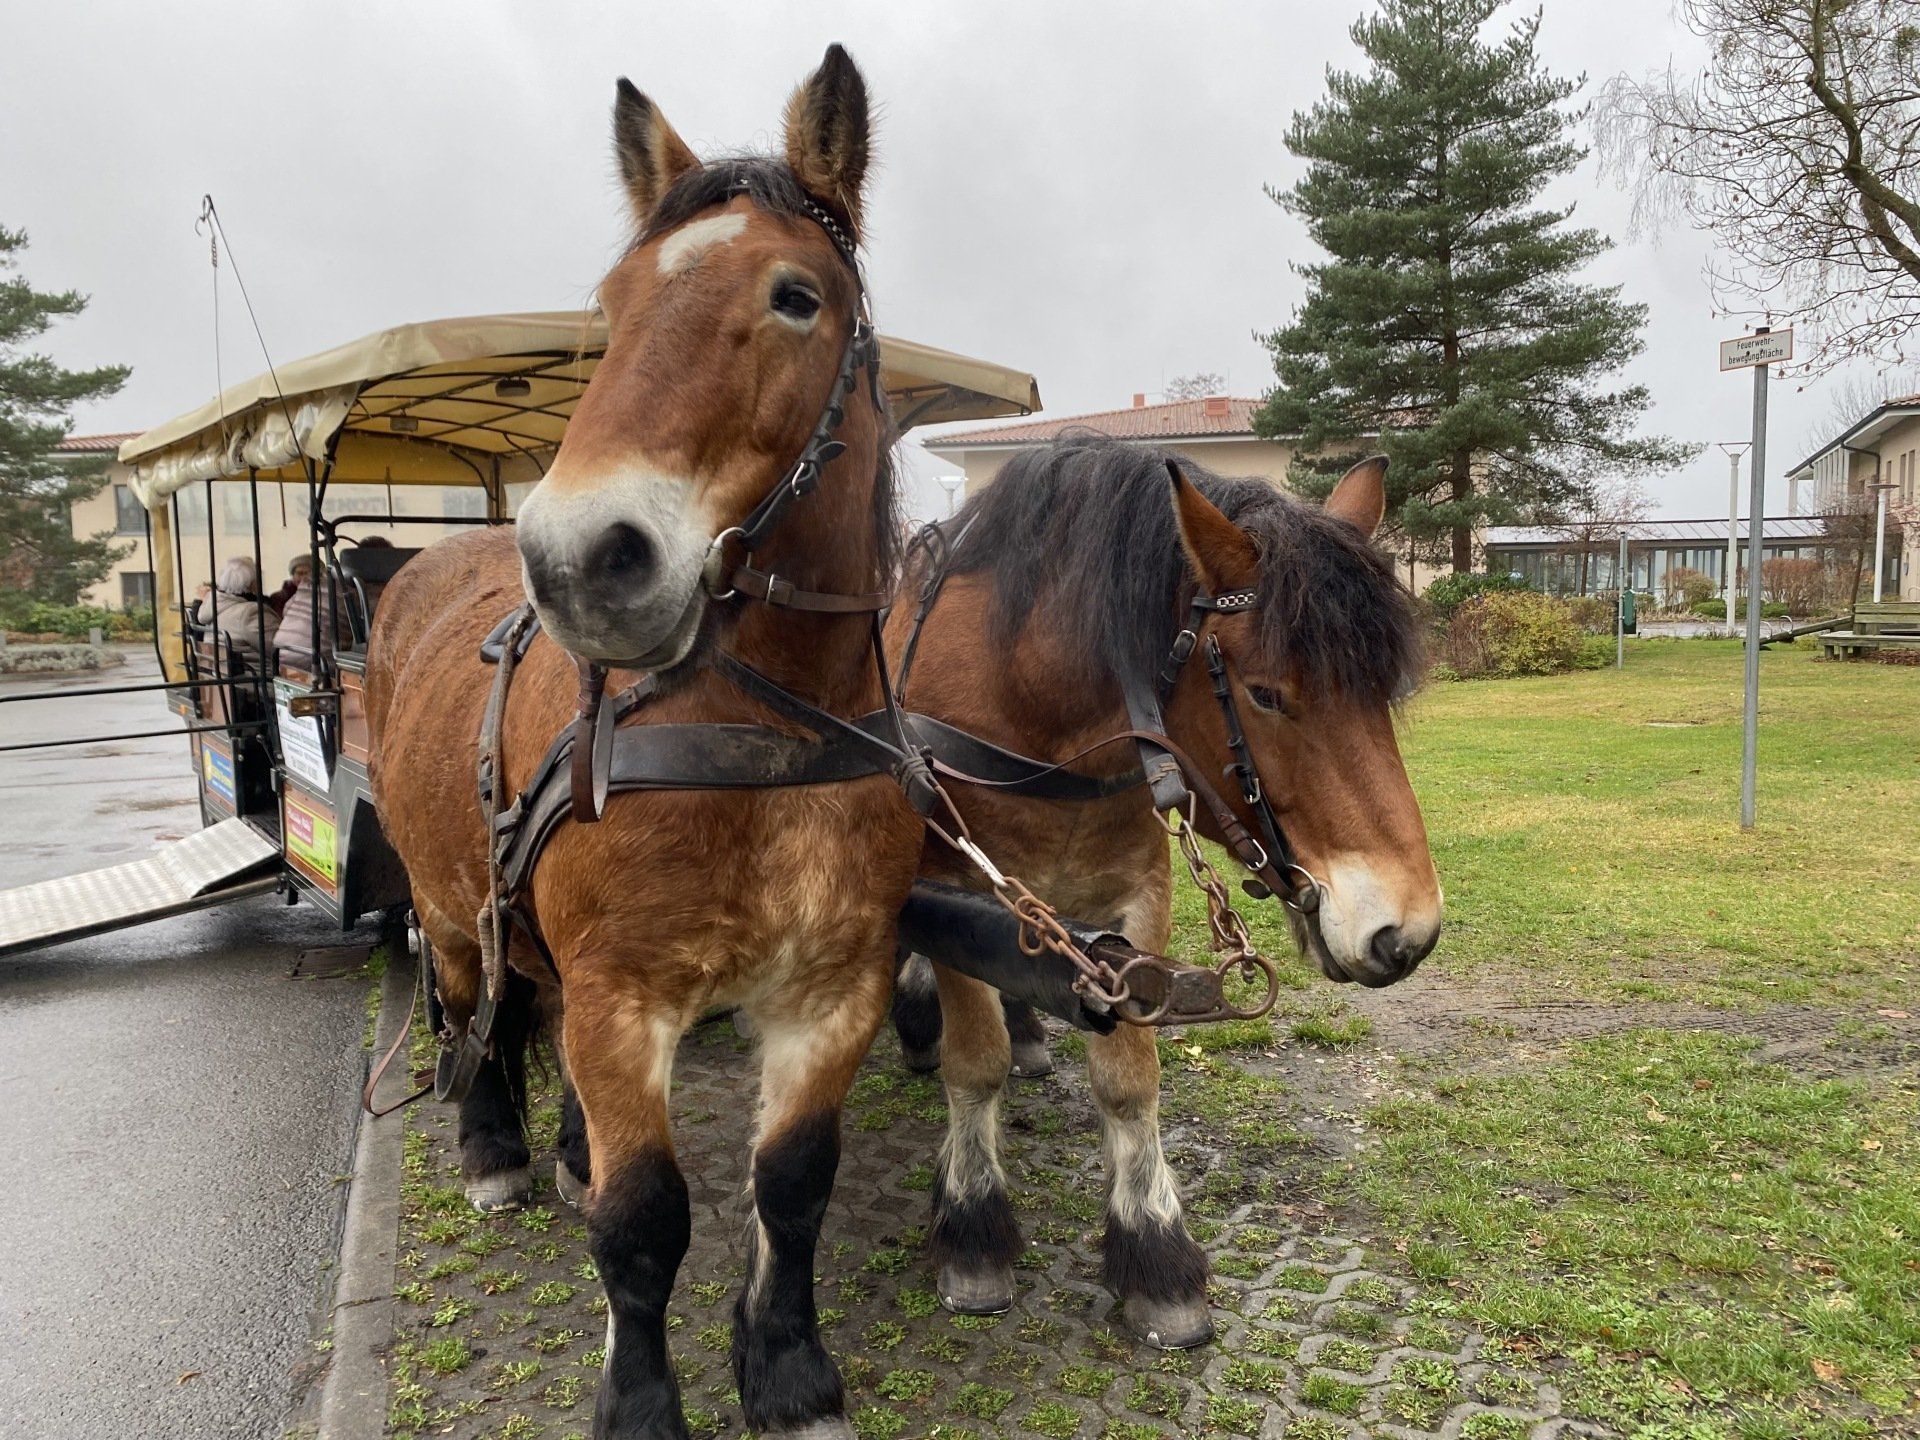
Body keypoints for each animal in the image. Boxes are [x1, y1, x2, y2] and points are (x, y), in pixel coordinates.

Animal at [366, 47, 927, 1440]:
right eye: (612, 310)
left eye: (796, 296)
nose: (581, 559)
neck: (760, 744)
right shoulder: (626, 998)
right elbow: (644, 1221)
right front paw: (641, 1399)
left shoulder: (831, 990)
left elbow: (793, 1183)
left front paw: (785, 1365)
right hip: (450, 902)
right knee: (472, 1000)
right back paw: (500, 1149)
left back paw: (566, 1144)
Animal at [884, 434, 1441, 1348]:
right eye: (1263, 693)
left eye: (1381, 688)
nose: (1408, 932)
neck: (1038, 730)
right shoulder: (952, 883)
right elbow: (974, 1065)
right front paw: (972, 1224)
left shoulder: (1137, 900)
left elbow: (1129, 1080)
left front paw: (1154, 1249)